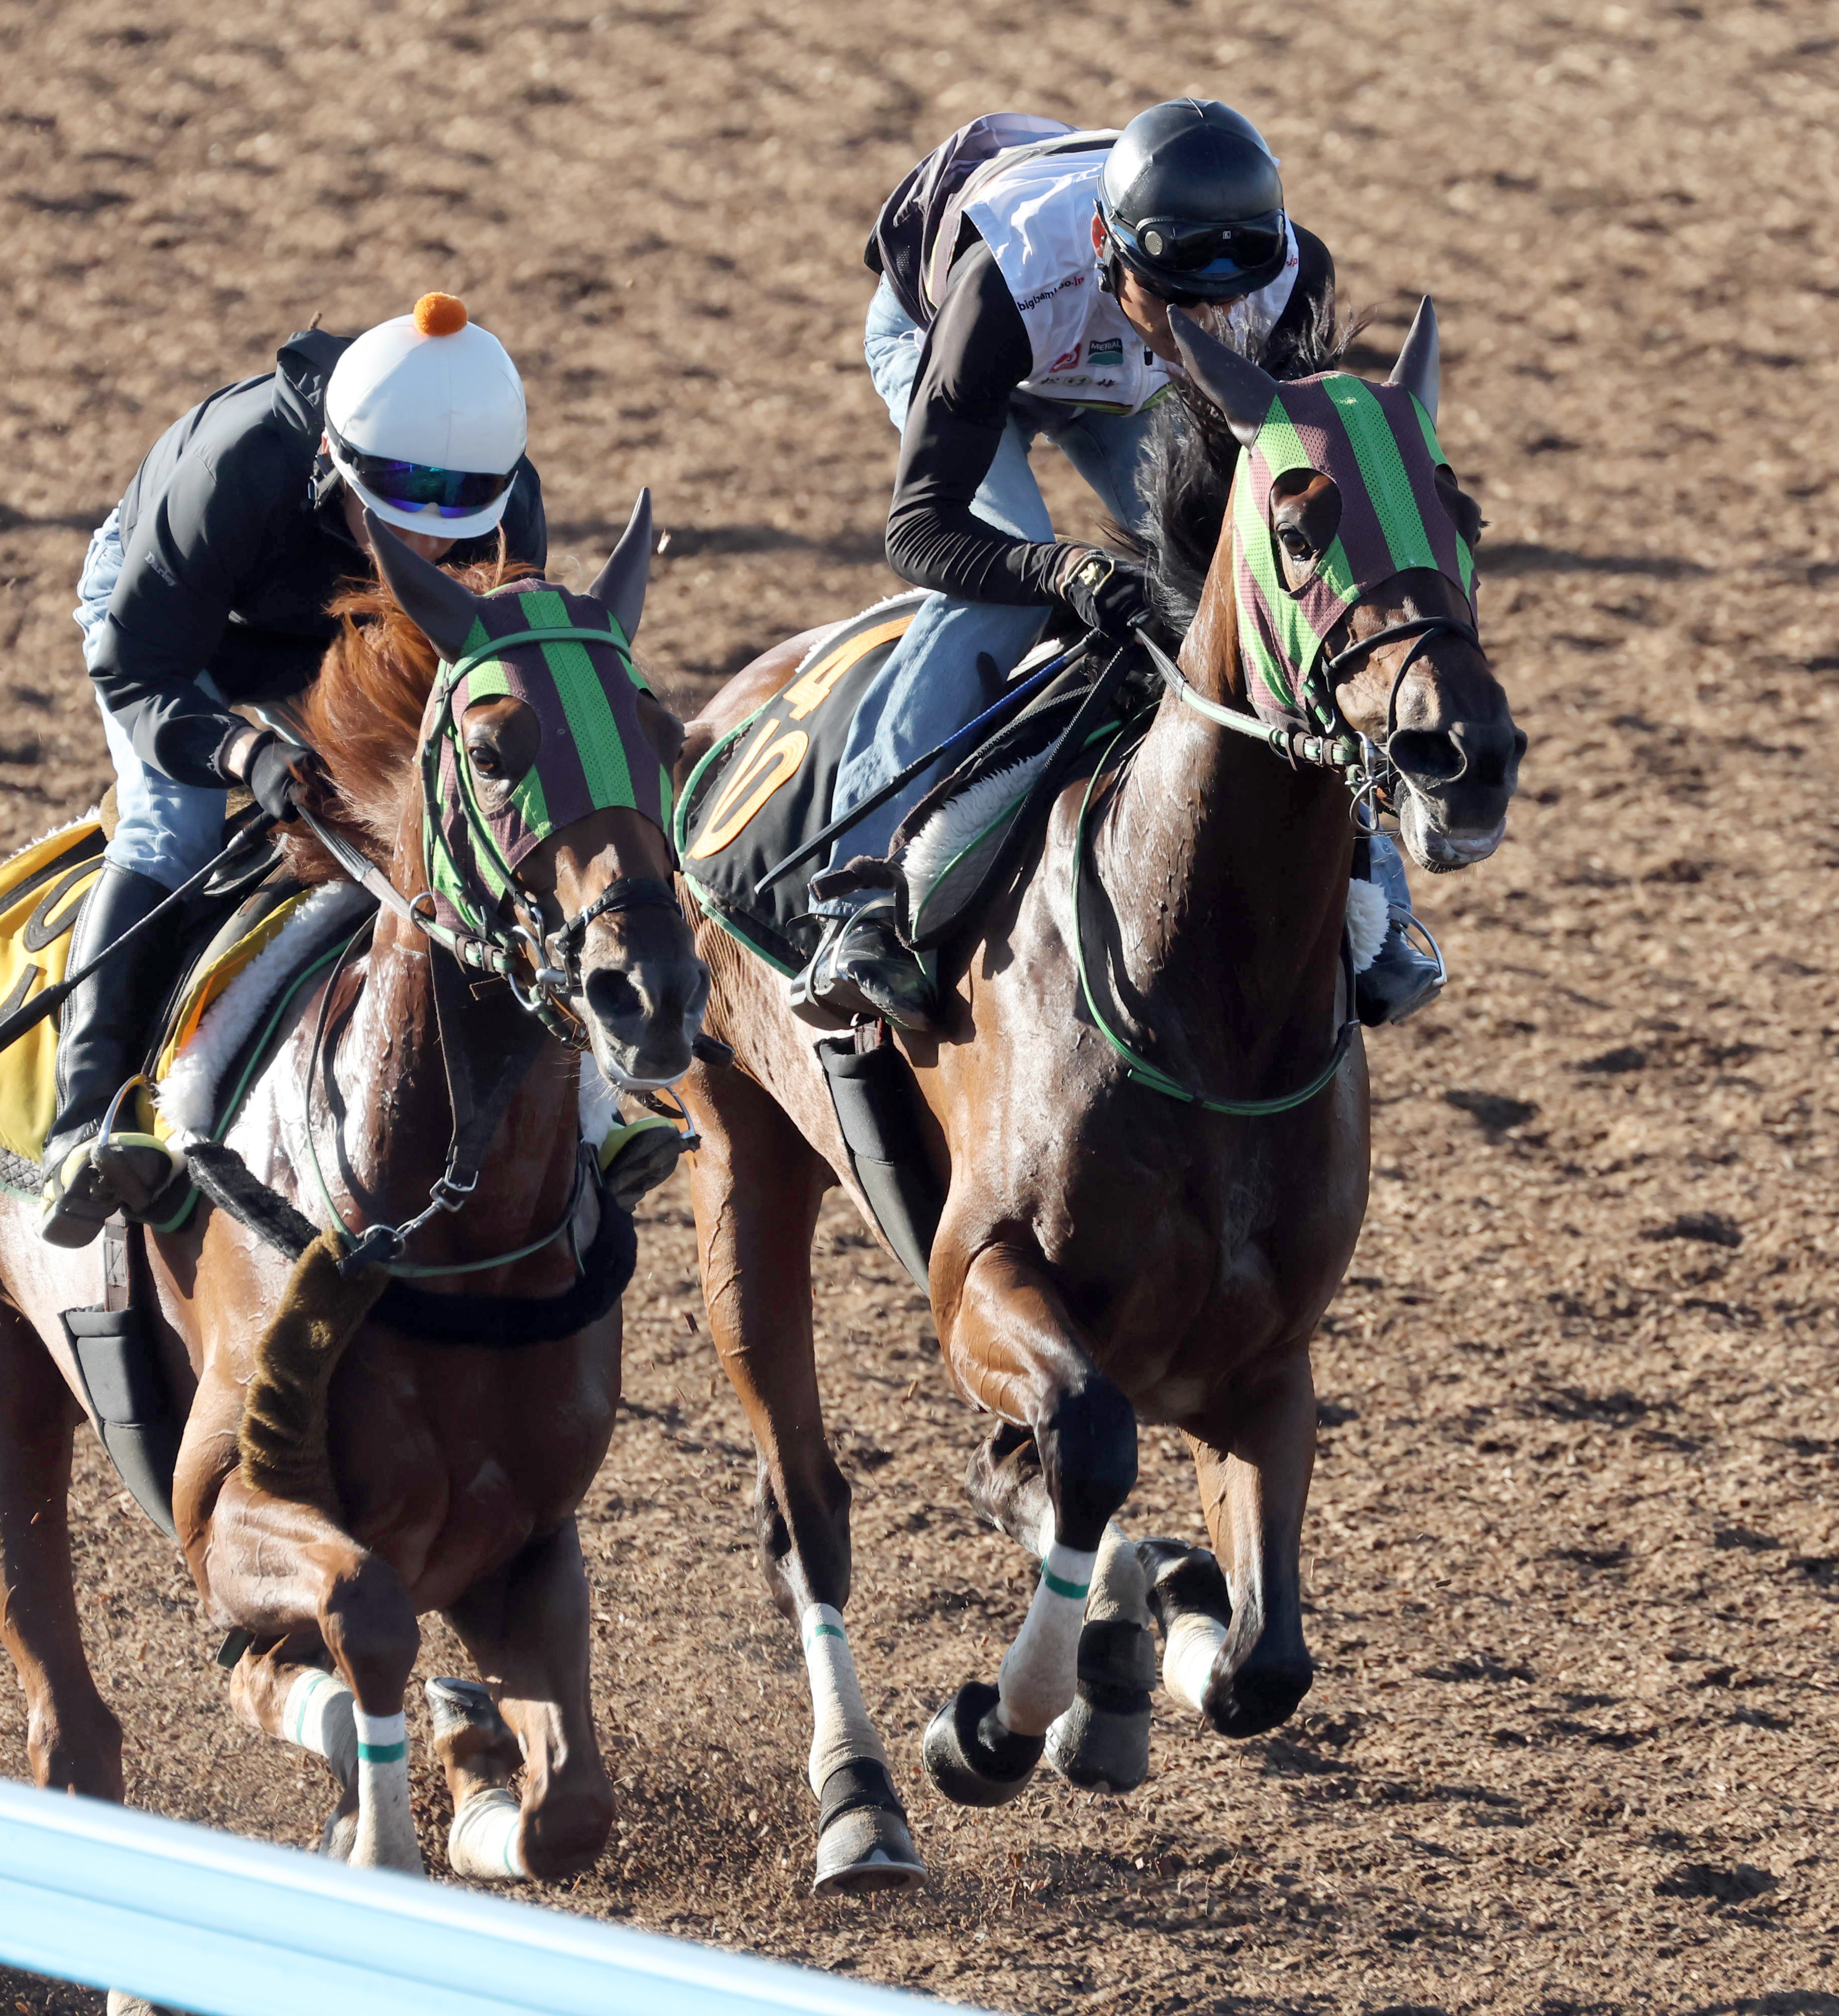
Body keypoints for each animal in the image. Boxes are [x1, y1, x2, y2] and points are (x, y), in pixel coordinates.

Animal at [0, 500, 706, 1887]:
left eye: (663, 738)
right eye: (492, 749)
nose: (647, 988)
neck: (449, 1228)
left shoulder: (527, 1537)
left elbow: (572, 1805)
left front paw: (476, 1773)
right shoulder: (218, 1507)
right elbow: (363, 1610)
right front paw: (382, 1826)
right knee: (57, 1656)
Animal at [673, 294, 1524, 1887]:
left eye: (1468, 513)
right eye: (1301, 517)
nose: (1466, 752)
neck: (1205, 996)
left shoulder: (1267, 1360)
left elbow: (1262, 1663)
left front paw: (1134, 1664)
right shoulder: (975, 1279)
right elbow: (1084, 1443)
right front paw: (997, 1726)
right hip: (737, 1152)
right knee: (810, 1507)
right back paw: (862, 1799)